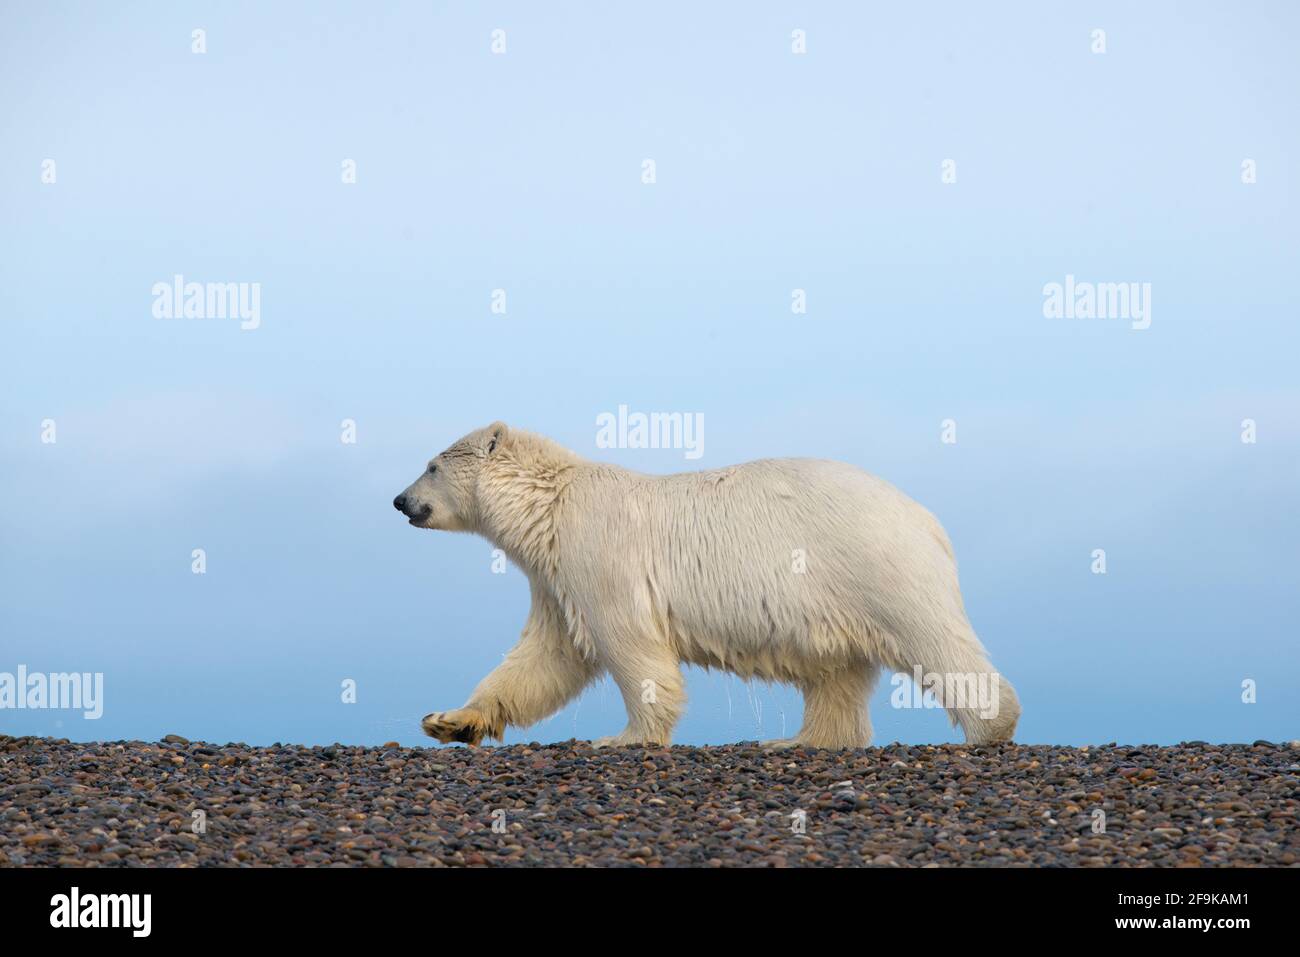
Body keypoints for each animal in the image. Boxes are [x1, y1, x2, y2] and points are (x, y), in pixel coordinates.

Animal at [390, 423, 1019, 748]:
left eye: (431, 465)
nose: (399, 500)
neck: (549, 503)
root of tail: (927, 519)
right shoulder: (555, 578)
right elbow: (546, 657)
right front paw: (450, 721)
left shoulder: (598, 552)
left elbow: (628, 644)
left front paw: (625, 737)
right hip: (834, 596)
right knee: (836, 674)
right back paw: (798, 740)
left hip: (872, 563)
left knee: (933, 640)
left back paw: (990, 726)